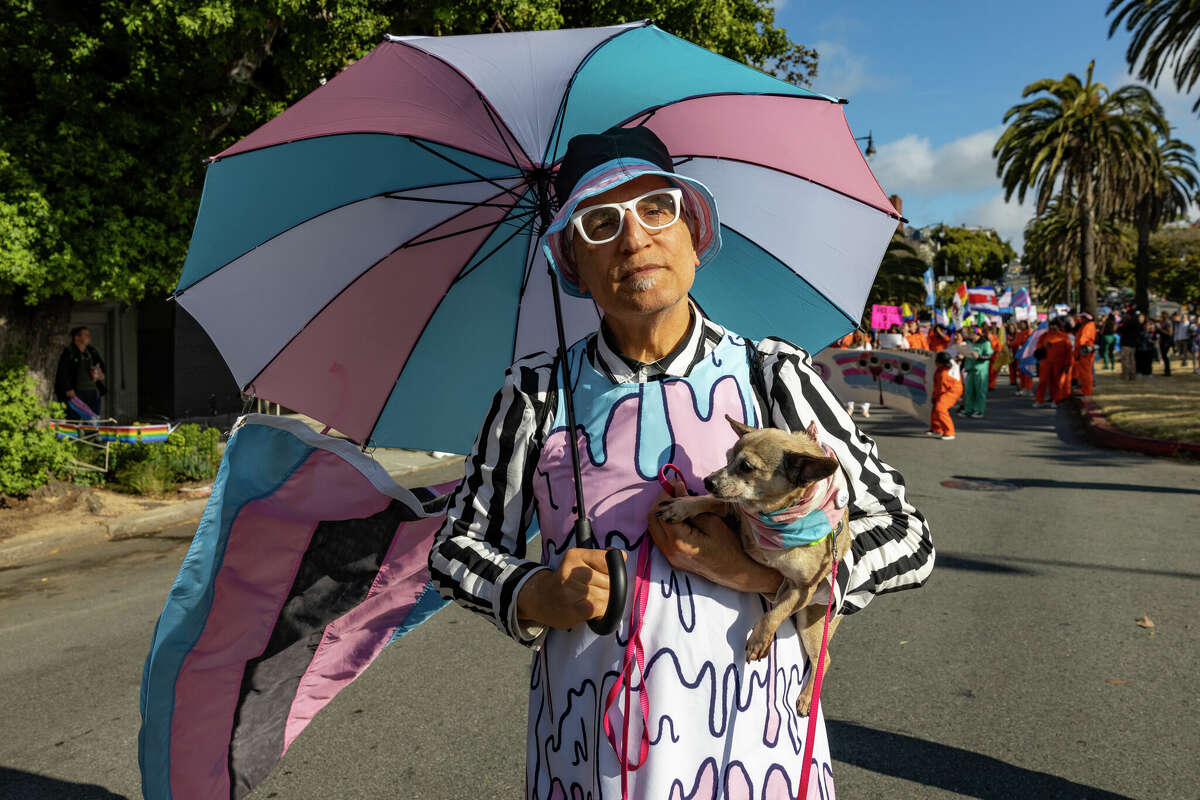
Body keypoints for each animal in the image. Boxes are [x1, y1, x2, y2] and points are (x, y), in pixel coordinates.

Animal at [662, 417, 849, 714]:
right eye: (727, 458)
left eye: (746, 467)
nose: (707, 480)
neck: (772, 515)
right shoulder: (733, 509)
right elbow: (711, 501)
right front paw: (683, 506)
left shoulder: (802, 588)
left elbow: (776, 612)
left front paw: (760, 639)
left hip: (811, 624)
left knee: (824, 659)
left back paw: (807, 697)